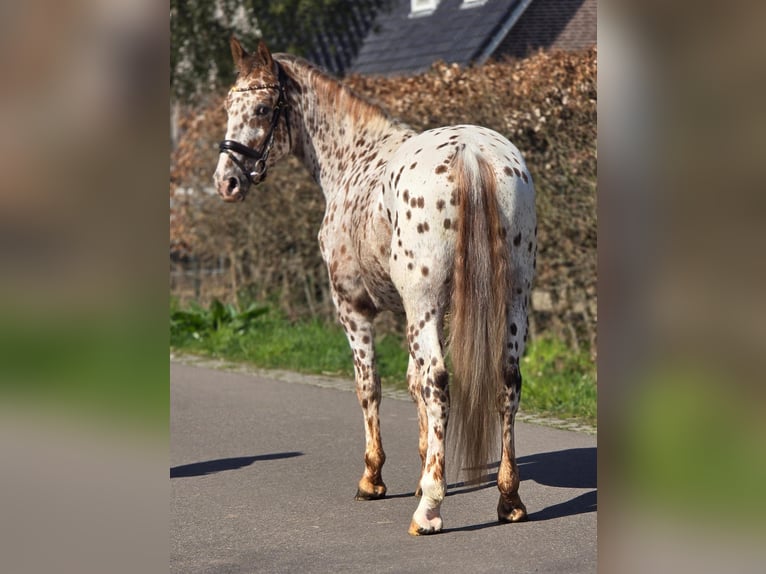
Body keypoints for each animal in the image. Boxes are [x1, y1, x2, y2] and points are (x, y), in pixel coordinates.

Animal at [213, 38, 536, 535]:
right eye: (230, 105)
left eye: (264, 108)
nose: (226, 181)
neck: (355, 157)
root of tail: (472, 153)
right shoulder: (414, 312)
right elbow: (413, 382)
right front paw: (424, 467)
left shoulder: (354, 307)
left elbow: (371, 384)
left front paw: (374, 478)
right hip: (512, 299)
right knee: (506, 379)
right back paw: (509, 499)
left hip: (427, 302)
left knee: (440, 381)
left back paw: (429, 511)